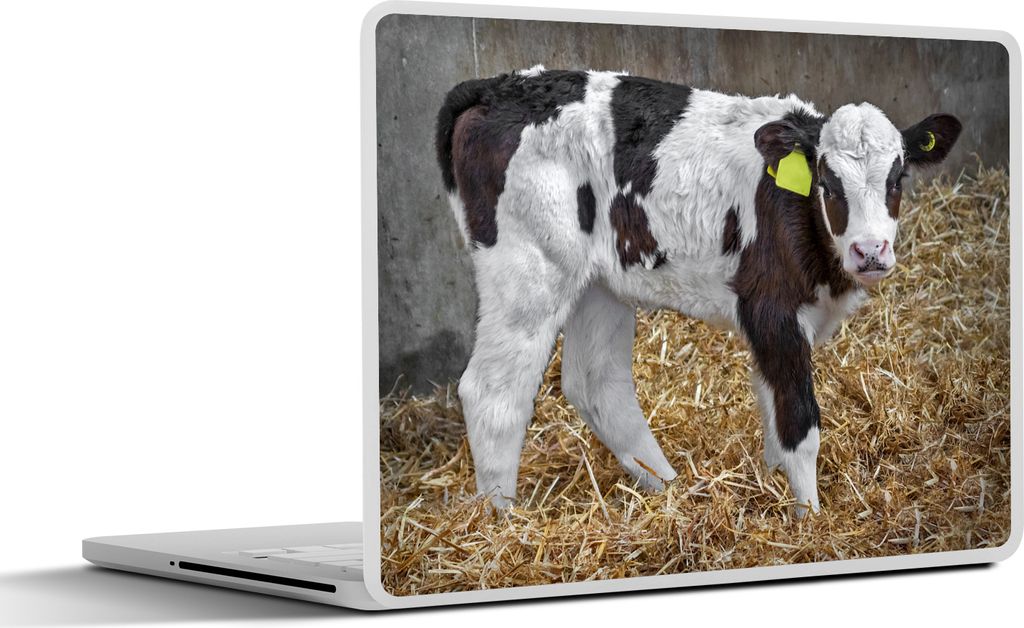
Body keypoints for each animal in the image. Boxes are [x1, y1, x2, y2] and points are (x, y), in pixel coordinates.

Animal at [435, 66, 961, 516]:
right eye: (828, 183)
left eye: (897, 178)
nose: (870, 250)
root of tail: (494, 87)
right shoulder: (771, 308)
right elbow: (798, 423)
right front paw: (809, 518)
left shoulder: (772, 327)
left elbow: (771, 410)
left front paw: (773, 491)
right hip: (528, 269)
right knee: (493, 393)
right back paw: (503, 521)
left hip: (597, 282)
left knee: (596, 382)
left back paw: (670, 490)